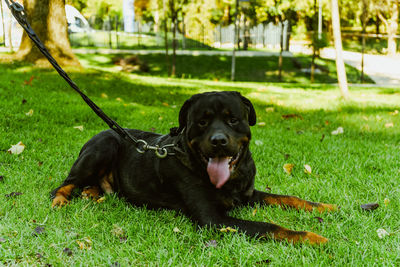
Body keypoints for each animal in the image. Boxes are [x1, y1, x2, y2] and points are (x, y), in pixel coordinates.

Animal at [51, 91, 336, 245]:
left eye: (233, 119)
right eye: (201, 122)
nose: (218, 140)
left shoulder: (249, 194)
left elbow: (287, 198)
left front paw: (324, 207)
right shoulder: (214, 220)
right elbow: (269, 226)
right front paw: (313, 237)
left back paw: (91, 193)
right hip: (104, 145)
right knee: (65, 182)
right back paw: (61, 200)